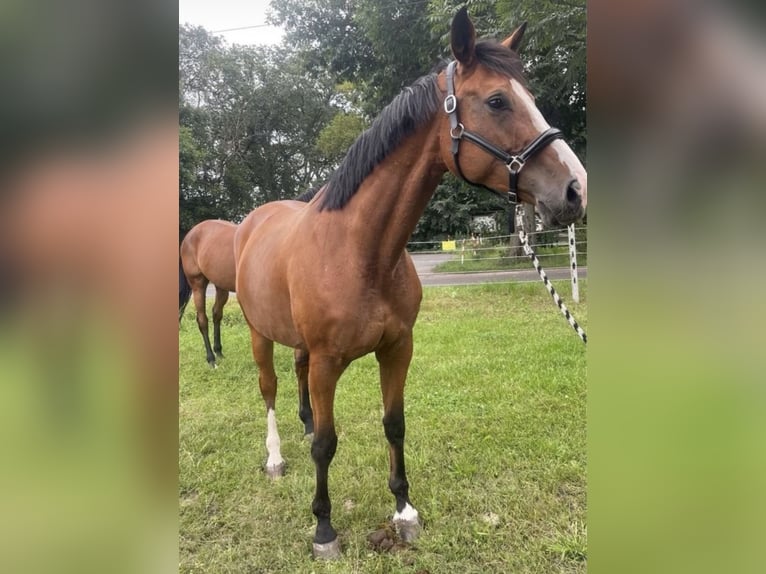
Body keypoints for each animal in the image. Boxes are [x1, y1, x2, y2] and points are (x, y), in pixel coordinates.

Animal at [179, 220, 237, 367]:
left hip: (221, 287)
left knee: (216, 314)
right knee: (202, 320)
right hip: (197, 284)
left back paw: (219, 352)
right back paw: (211, 359)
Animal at [234, 8, 587, 559]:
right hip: (258, 334)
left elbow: (393, 424)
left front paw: (404, 511)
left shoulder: (398, 348)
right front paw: (324, 529)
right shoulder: (330, 361)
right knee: (269, 389)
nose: (576, 189)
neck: (361, 252)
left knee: (297, 378)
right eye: (497, 100)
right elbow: (326, 446)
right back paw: (275, 458)